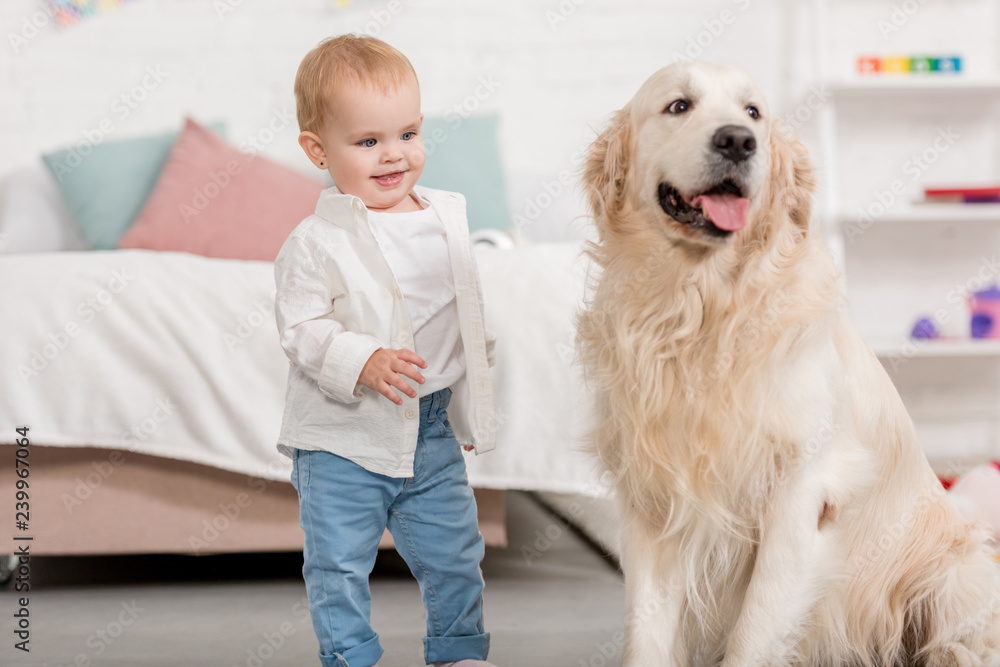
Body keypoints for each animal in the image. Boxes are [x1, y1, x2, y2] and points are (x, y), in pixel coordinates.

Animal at [576, 60, 1000, 664]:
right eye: (679, 105)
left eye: (753, 112)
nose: (737, 141)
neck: (702, 311)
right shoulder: (651, 501)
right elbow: (646, 633)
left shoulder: (801, 496)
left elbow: (754, 632)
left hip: (954, 576)